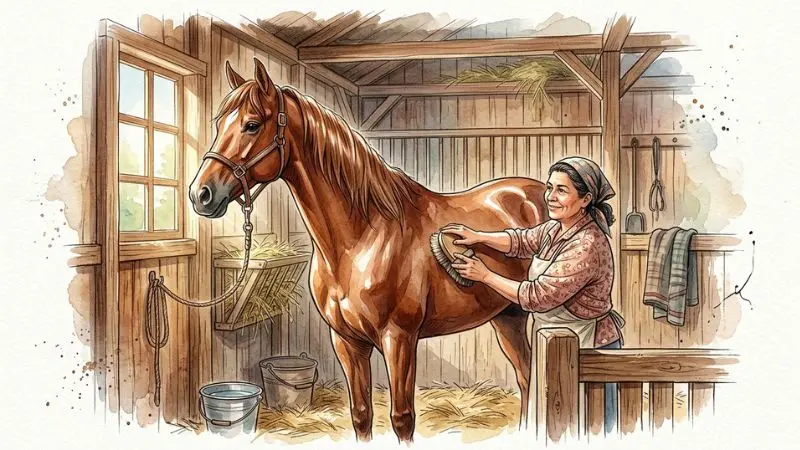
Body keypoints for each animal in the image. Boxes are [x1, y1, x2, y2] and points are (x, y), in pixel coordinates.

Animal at [189, 58, 549, 444]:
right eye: (218, 124)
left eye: (252, 124)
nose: (201, 194)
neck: (361, 240)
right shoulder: (347, 342)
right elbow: (361, 414)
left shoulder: (399, 339)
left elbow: (402, 418)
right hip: (509, 315)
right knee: (526, 375)